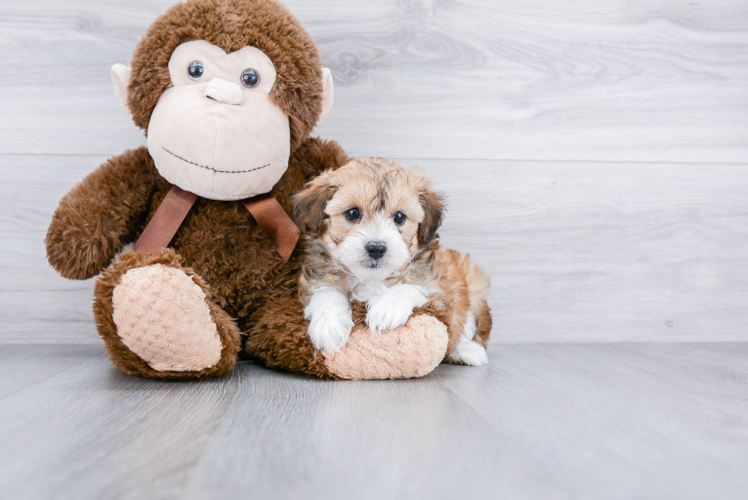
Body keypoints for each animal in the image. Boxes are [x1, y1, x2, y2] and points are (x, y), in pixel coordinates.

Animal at [292, 158, 490, 366]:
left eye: (399, 217)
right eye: (353, 213)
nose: (376, 248)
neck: (370, 279)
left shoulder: (439, 289)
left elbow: (413, 286)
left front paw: (387, 308)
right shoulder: (316, 276)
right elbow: (326, 291)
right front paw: (329, 324)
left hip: (472, 286)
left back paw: (468, 351)